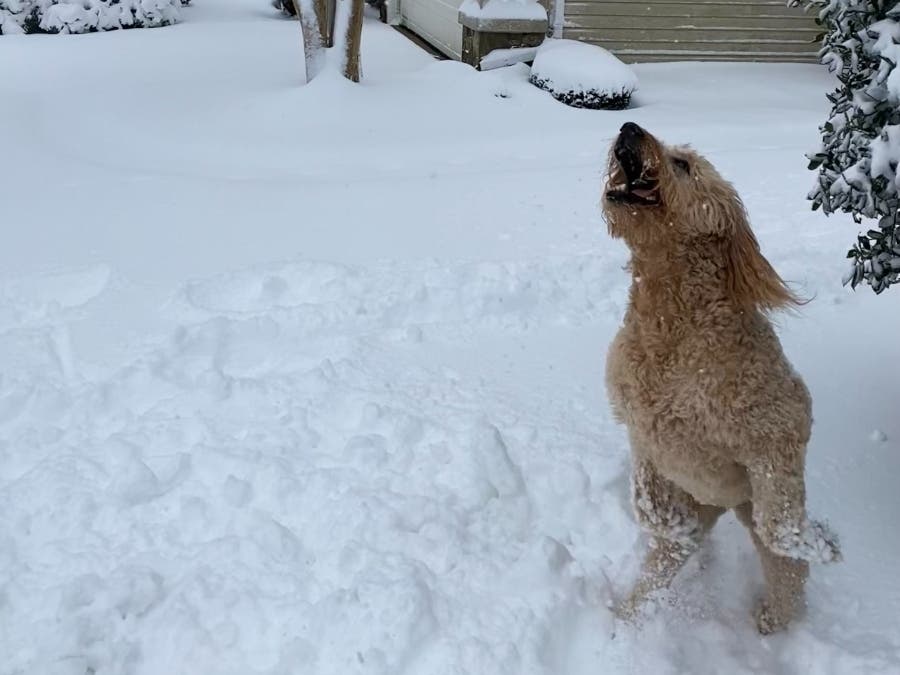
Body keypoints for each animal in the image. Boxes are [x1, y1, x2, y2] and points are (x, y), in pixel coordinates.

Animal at [600, 121, 840, 632]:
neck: (671, 330)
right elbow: (651, 503)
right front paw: (666, 521)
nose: (628, 127)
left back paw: (774, 619)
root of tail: (725, 506)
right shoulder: (640, 429)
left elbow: (781, 528)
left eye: (683, 164)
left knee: (787, 571)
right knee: (665, 565)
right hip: (700, 513)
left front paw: (821, 541)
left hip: (751, 504)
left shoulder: (777, 431)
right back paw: (626, 619)